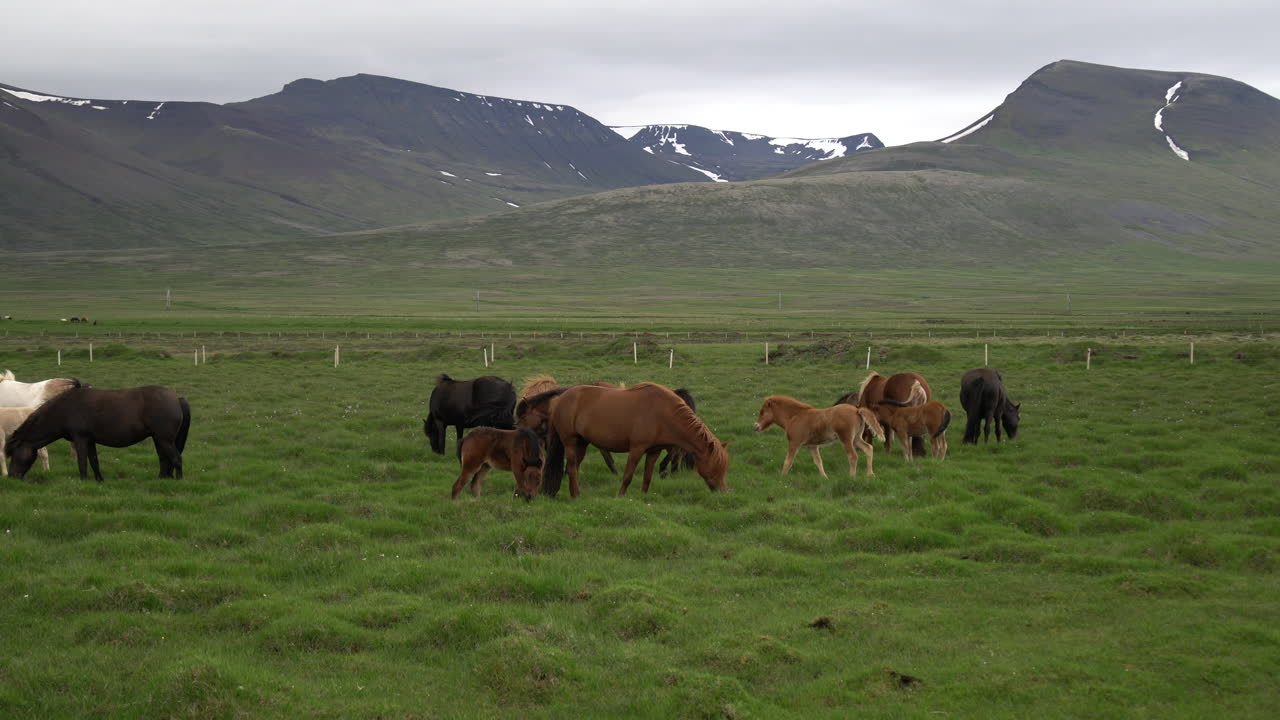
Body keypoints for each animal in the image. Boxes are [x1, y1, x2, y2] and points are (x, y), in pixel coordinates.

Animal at [4, 386, 191, 482]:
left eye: (14, 454)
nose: (12, 476)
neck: (66, 408)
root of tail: (177, 398)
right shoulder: (90, 440)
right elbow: (94, 461)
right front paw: (99, 480)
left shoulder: (80, 439)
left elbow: (82, 462)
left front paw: (83, 480)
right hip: (158, 439)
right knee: (164, 460)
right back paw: (162, 479)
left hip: (164, 439)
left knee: (176, 459)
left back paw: (178, 481)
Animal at [543, 383, 729, 497]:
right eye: (716, 467)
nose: (723, 492)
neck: (663, 413)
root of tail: (559, 398)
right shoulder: (637, 449)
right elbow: (628, 476)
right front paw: (619, 496)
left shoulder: (654, 451)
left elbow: (647, 477)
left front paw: (643, 497)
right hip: (570, 442)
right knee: (572, 468)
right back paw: (576, 495)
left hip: (582, 443)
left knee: (573, 467)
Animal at [753, 395, 884, 478]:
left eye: (762, 412)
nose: (755, 426)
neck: (795, 416)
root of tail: (857, 410)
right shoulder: (812, 446)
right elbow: (818, 462)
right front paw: (824, 477)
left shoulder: (794, 443)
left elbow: (788, 461)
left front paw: (782, 478)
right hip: (856, 438)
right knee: (868, 448)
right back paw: (870, 474)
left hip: (846, 439)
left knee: (853, 456)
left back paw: (852, 476)